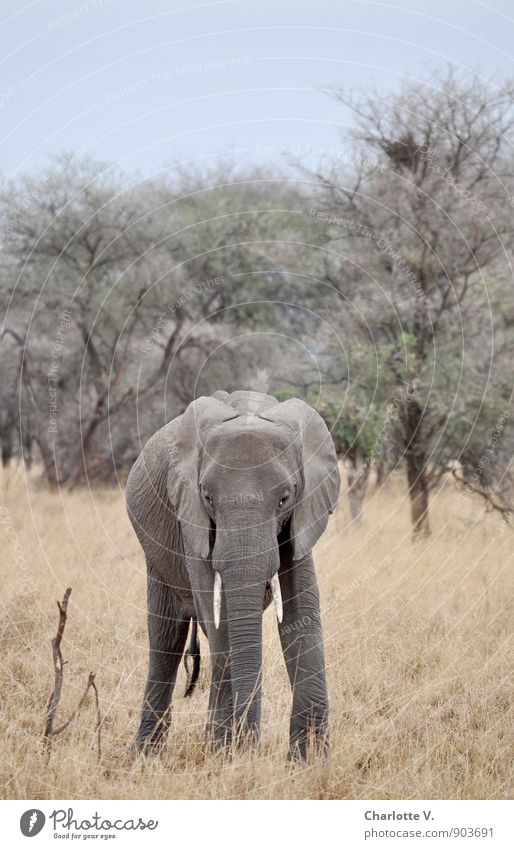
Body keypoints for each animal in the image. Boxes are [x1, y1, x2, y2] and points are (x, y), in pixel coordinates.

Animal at [125, 388, 340, 760]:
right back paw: (146, 754)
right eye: (208, 497)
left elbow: (301, 615)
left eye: (284, 499)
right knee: (167, 639)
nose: (250, 747)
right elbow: (219, 617)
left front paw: (309, 761)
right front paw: (230, 754)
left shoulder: (304, 515)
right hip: (155, 551)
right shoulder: (189, 516)